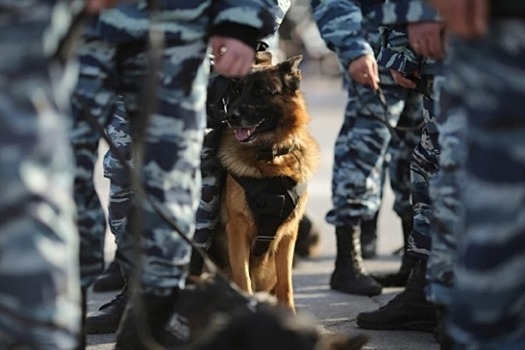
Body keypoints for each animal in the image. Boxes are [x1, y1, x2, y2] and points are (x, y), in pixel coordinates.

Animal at [208, 52, 320, 312]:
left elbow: (286, 284)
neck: (271, 156)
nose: (230, 117)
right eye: (237, 90)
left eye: (260, 91)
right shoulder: (238, 230)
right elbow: (244, 281)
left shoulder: (289, 234)